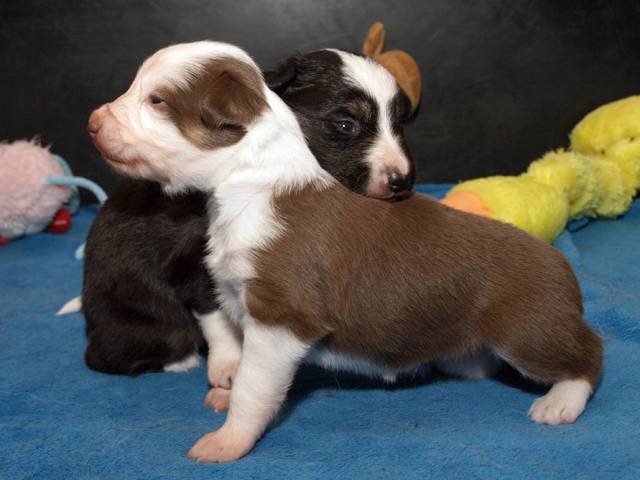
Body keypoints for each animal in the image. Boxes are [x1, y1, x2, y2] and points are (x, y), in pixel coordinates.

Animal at [81, 45, 416, 376]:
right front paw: (229, 367)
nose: (402, 181)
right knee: (109, 354)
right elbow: (218, 314)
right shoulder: (193, 262)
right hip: (151, 325)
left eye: (400, 124)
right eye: (347, 125)